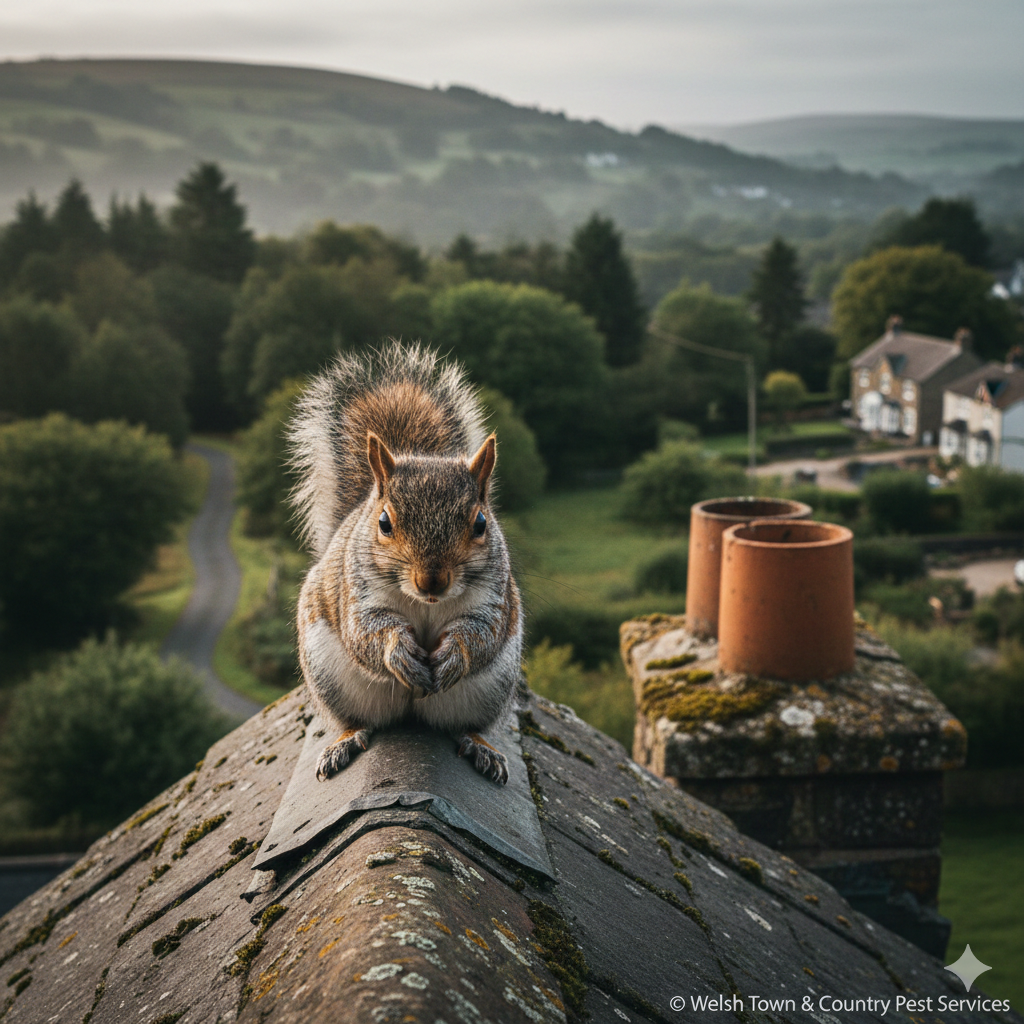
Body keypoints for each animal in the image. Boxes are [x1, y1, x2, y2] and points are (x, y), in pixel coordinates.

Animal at [288, 342, 522, 785]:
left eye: (481, 523)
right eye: (384, 523)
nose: (432, 581)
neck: (425, 604)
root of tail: (412, 713)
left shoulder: (493, 600)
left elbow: (481, 634)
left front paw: (454, 656)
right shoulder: (358, 595)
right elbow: (368, 633)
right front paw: (398, 652)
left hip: (493, 690)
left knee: (466, 726)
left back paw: (480, 746)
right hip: (329, 677)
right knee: (356, 719)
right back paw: (345, 740)